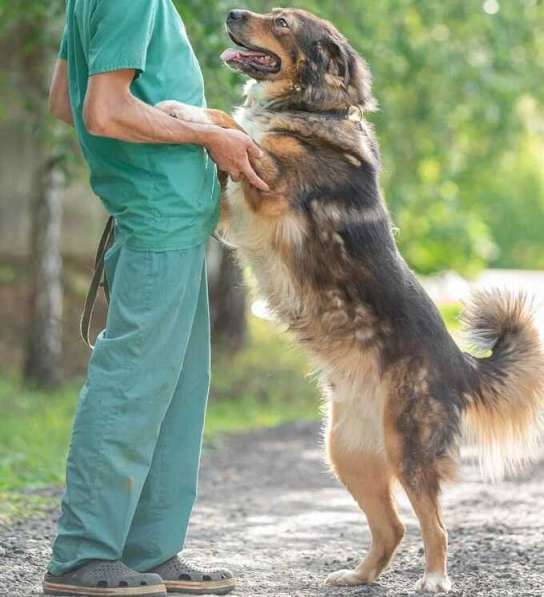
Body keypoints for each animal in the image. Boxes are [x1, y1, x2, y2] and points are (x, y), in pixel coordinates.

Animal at [157, 7, 544, 588]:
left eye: (281, 21)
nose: (232, 12)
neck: (312, 111)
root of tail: (459, 362)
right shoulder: (234, 217)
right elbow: (228, 130)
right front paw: (182, 114)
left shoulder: (270, 185)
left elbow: (230, 126)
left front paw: (187, 112)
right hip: (346, 453)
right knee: (392, 527)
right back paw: (357, 576)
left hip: (409, 448)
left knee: (434, 524)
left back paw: (435, 578)